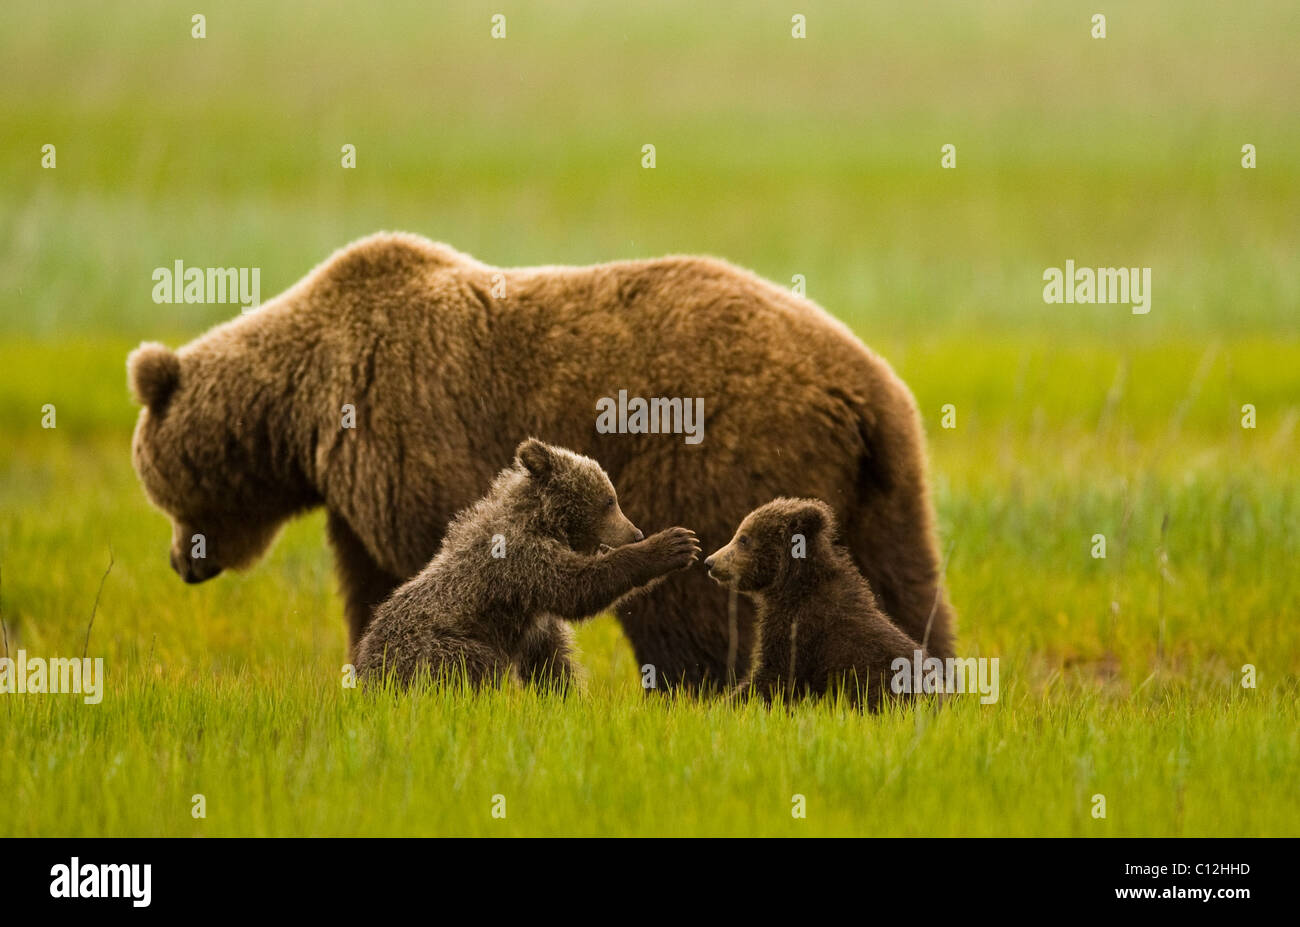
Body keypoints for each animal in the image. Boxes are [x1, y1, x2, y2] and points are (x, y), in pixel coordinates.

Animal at [126, 235, 956, 691]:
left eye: (154, 484)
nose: (179, 563)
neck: (302, 414)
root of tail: (857, 385)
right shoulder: (356, 498)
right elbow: (371, 582)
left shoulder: (408, 431)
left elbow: (460, 566)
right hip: (886, 479)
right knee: (905, 583)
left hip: (720, 454)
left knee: (687, 606)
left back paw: (690, 689)